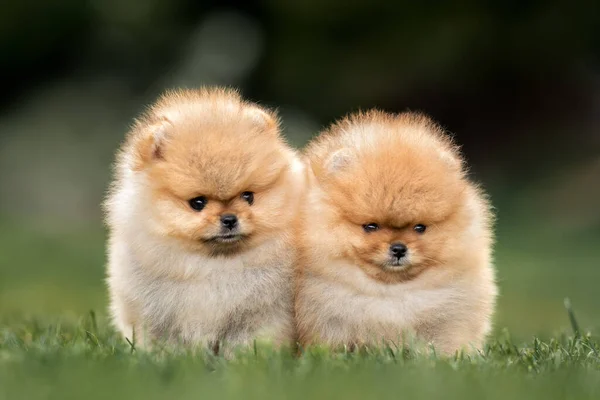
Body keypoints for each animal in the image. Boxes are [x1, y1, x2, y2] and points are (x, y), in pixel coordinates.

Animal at [102, 88, 304, 354]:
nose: (229, 219)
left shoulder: (263, 315)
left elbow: (249, 343)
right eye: (198, 203)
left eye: (248, 196)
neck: (214, 265)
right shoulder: (156, 316)